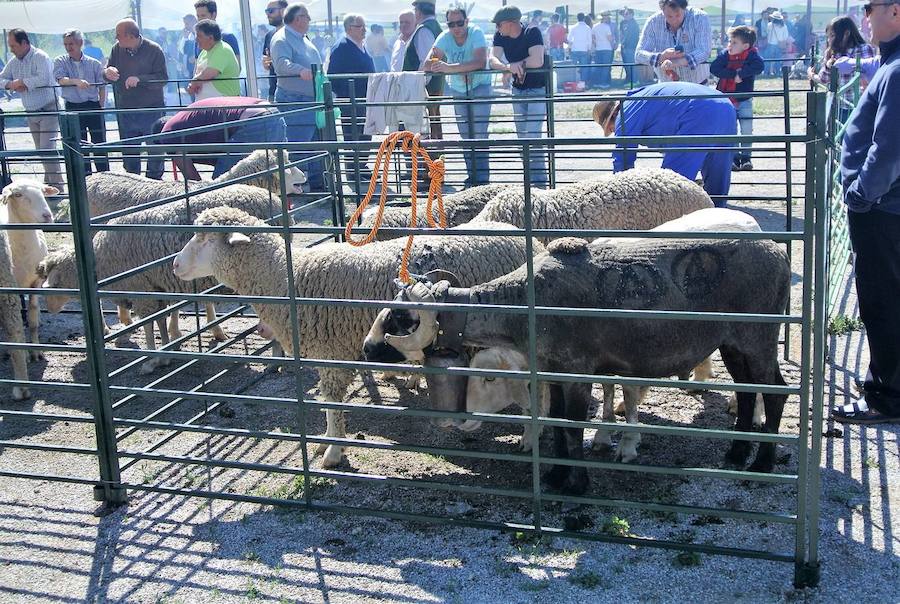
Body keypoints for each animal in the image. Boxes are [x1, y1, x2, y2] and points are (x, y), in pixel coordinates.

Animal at [0, 179, 55, 358]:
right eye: (18, 194)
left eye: (43, 191)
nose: (47, 215)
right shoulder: (8, 288)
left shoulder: (36, 283)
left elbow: (32, 315)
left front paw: (36, 351)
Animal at [39, 186, 288, 372]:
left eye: (54, 282)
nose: (49, 308)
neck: (98, 262)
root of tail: (272, 199)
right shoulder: (155, 289)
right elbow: (160, 321)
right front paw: (167, 350)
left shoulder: (142, 291)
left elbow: (149, 325)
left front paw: (153, 359)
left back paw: (275, 358)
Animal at [172, 206, 544, 468]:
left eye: (204, 238)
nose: (175, 266)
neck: (285, 277)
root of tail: (524, 238)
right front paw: (327, 440)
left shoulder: (331, 354)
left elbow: (333, 404)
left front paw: (333, 452)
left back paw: (530, 437)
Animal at [364, 232, 788, 496]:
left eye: (399, 318)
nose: (368, 349)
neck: (521, 307)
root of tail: (779, 253)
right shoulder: (551, 371)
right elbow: (555, 423)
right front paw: (555, 474)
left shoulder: (577, 370)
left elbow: (571, 427)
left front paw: (577, 484)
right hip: (733, 341)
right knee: (747, 393)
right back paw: (736, 454)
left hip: (759, 336)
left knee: (776, 393)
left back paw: (762, 464)